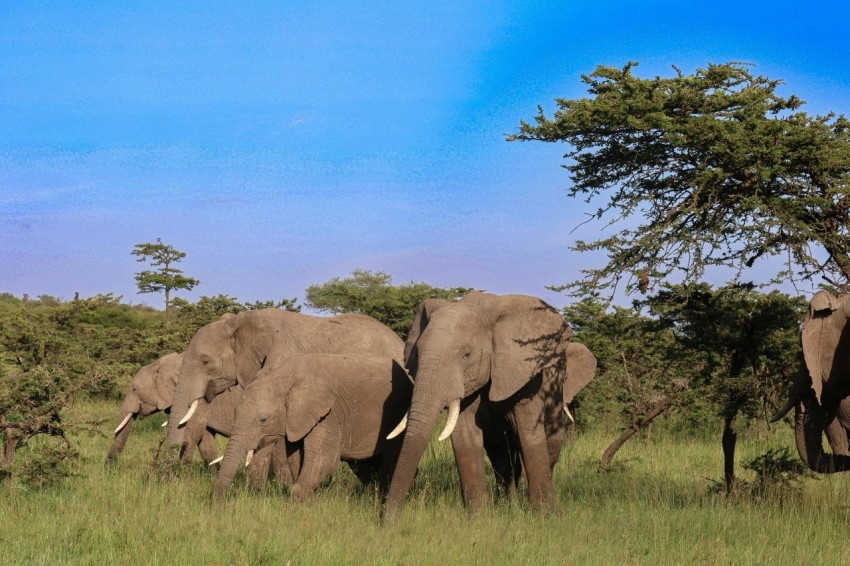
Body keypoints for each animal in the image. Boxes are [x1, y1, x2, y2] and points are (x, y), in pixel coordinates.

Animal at [211, 352, 410, 504]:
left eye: (263, 420)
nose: (218, 508)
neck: (284, 376)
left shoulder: (329, 413)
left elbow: (324, 459)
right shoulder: (295, 419)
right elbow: (293, 458)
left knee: (389, 462)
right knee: (364, 467)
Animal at [384, 292, 576, 524]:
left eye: (467, 355)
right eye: (417, 355)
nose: (387, 523)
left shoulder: (526, 372)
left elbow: (529, 435)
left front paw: (547, 517)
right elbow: (465, 435)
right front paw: (478, 518)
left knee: (551, 443)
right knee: (500, 455)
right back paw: (507, 505)